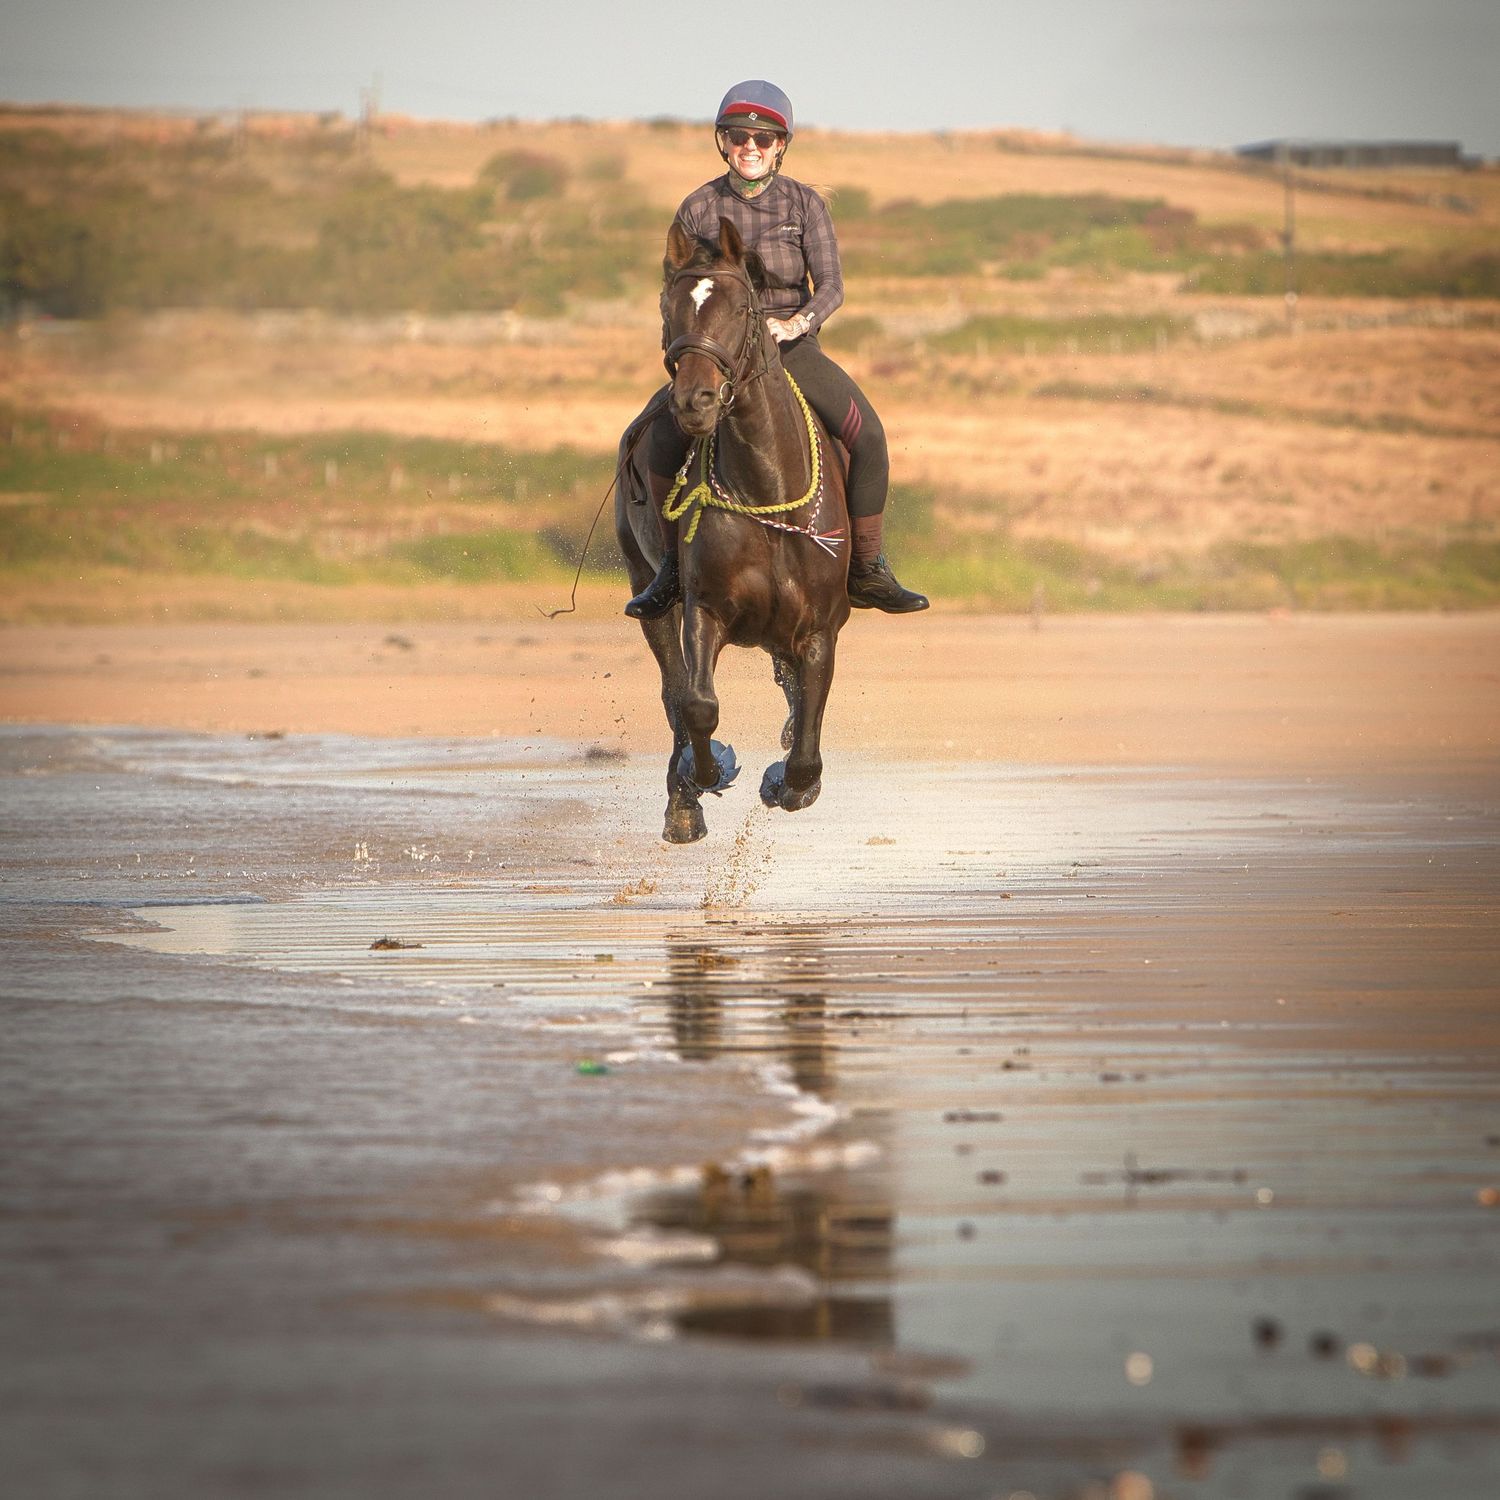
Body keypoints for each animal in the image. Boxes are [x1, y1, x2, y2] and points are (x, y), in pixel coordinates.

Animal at [615, 217, 851, 845]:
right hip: (649, 591)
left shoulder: (820, 628)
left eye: (744, 308)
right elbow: (698, 706)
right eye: (670, 307)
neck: (765, 486)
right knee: (674, 692)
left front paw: (789, 785)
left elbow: (808, 735)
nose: (694, 402)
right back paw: (682, 805)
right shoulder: (705, 610)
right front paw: (706, 774)